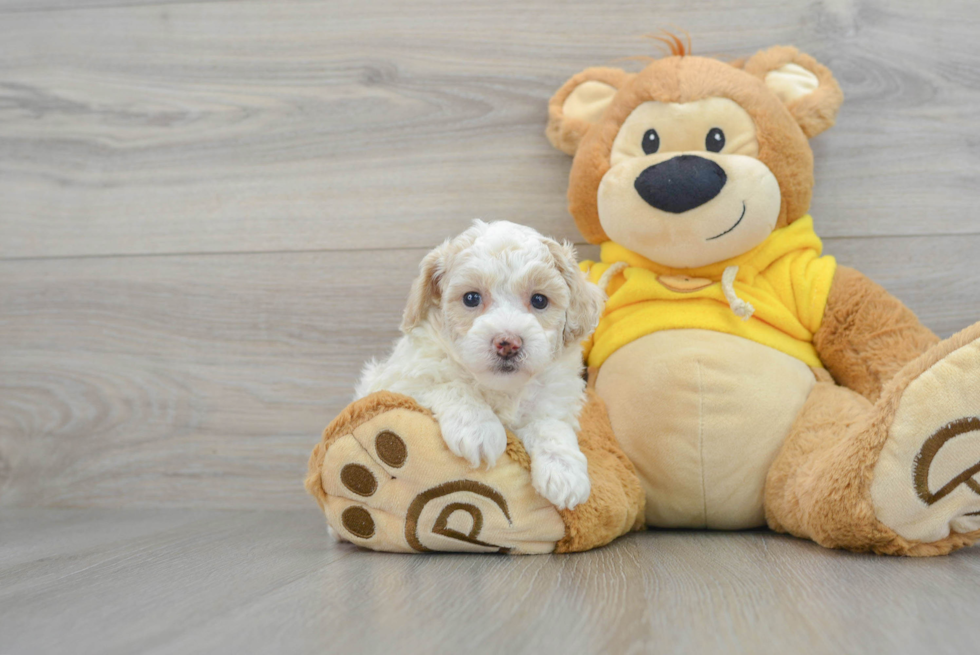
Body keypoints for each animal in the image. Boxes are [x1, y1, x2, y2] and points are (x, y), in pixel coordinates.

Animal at [356, 218, 608, 510]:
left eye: (539, 300)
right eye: (471, 298)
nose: (508, 342)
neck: (500, 388)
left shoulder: (552, 399)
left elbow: (551, 426)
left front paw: (564, 471)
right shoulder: (400, 381)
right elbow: (449, 384)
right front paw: (478, 429)